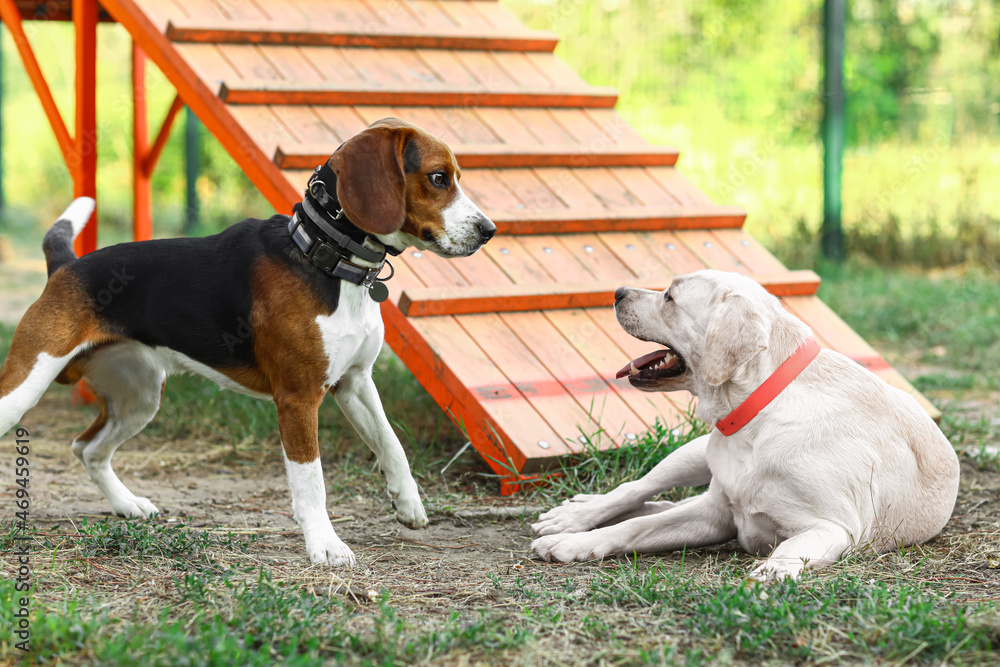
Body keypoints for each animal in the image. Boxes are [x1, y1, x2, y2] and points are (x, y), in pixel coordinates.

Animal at [0, 117, 496, 568]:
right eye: (438, 177)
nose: (489, 230)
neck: (327, 258)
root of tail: (67, 266)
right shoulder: (298, 399)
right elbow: (311, 480)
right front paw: (325, 545)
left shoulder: (355, 382)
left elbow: (393, 444)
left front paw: (408, 503)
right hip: (26, 385)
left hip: (140, 397)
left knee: (87, 448)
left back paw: (127, 504)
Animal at [532, 270, 960, 580]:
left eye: (669, 297)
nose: (618, 292)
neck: (760, 414)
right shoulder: (714, 515)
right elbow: (631, 529)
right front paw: (572, 542)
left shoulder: (835, 527)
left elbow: (791, 547)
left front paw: (776, 569)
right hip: (691, 453)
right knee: (635, 490)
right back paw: (573, 516)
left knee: (660, 501)